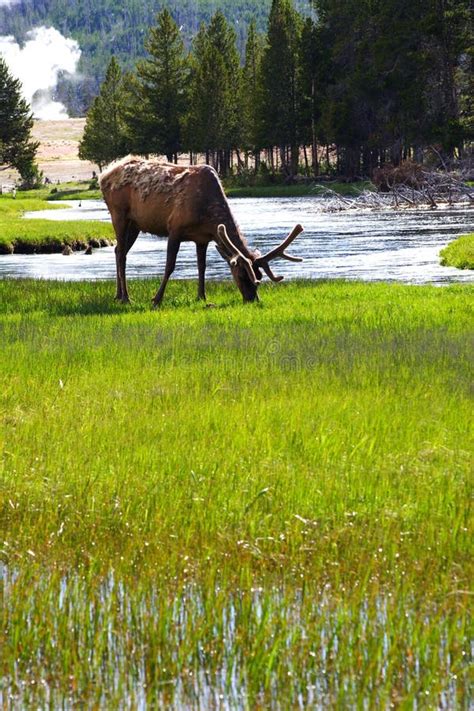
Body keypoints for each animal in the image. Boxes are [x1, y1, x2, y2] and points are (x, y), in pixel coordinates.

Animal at [100, 156, 304, 306]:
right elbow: (170, 266)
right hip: (118, 213)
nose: (252, 299)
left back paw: (118, 295)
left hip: (135, 224)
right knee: (122, 254)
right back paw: (126, 298)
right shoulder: (174, 228)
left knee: (118, 250)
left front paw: (201, 297)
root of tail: (104, 175)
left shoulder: (202, 238)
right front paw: (156, 299)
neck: (208, 216)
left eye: (259, 277)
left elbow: (202, 267)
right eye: (241, 275)